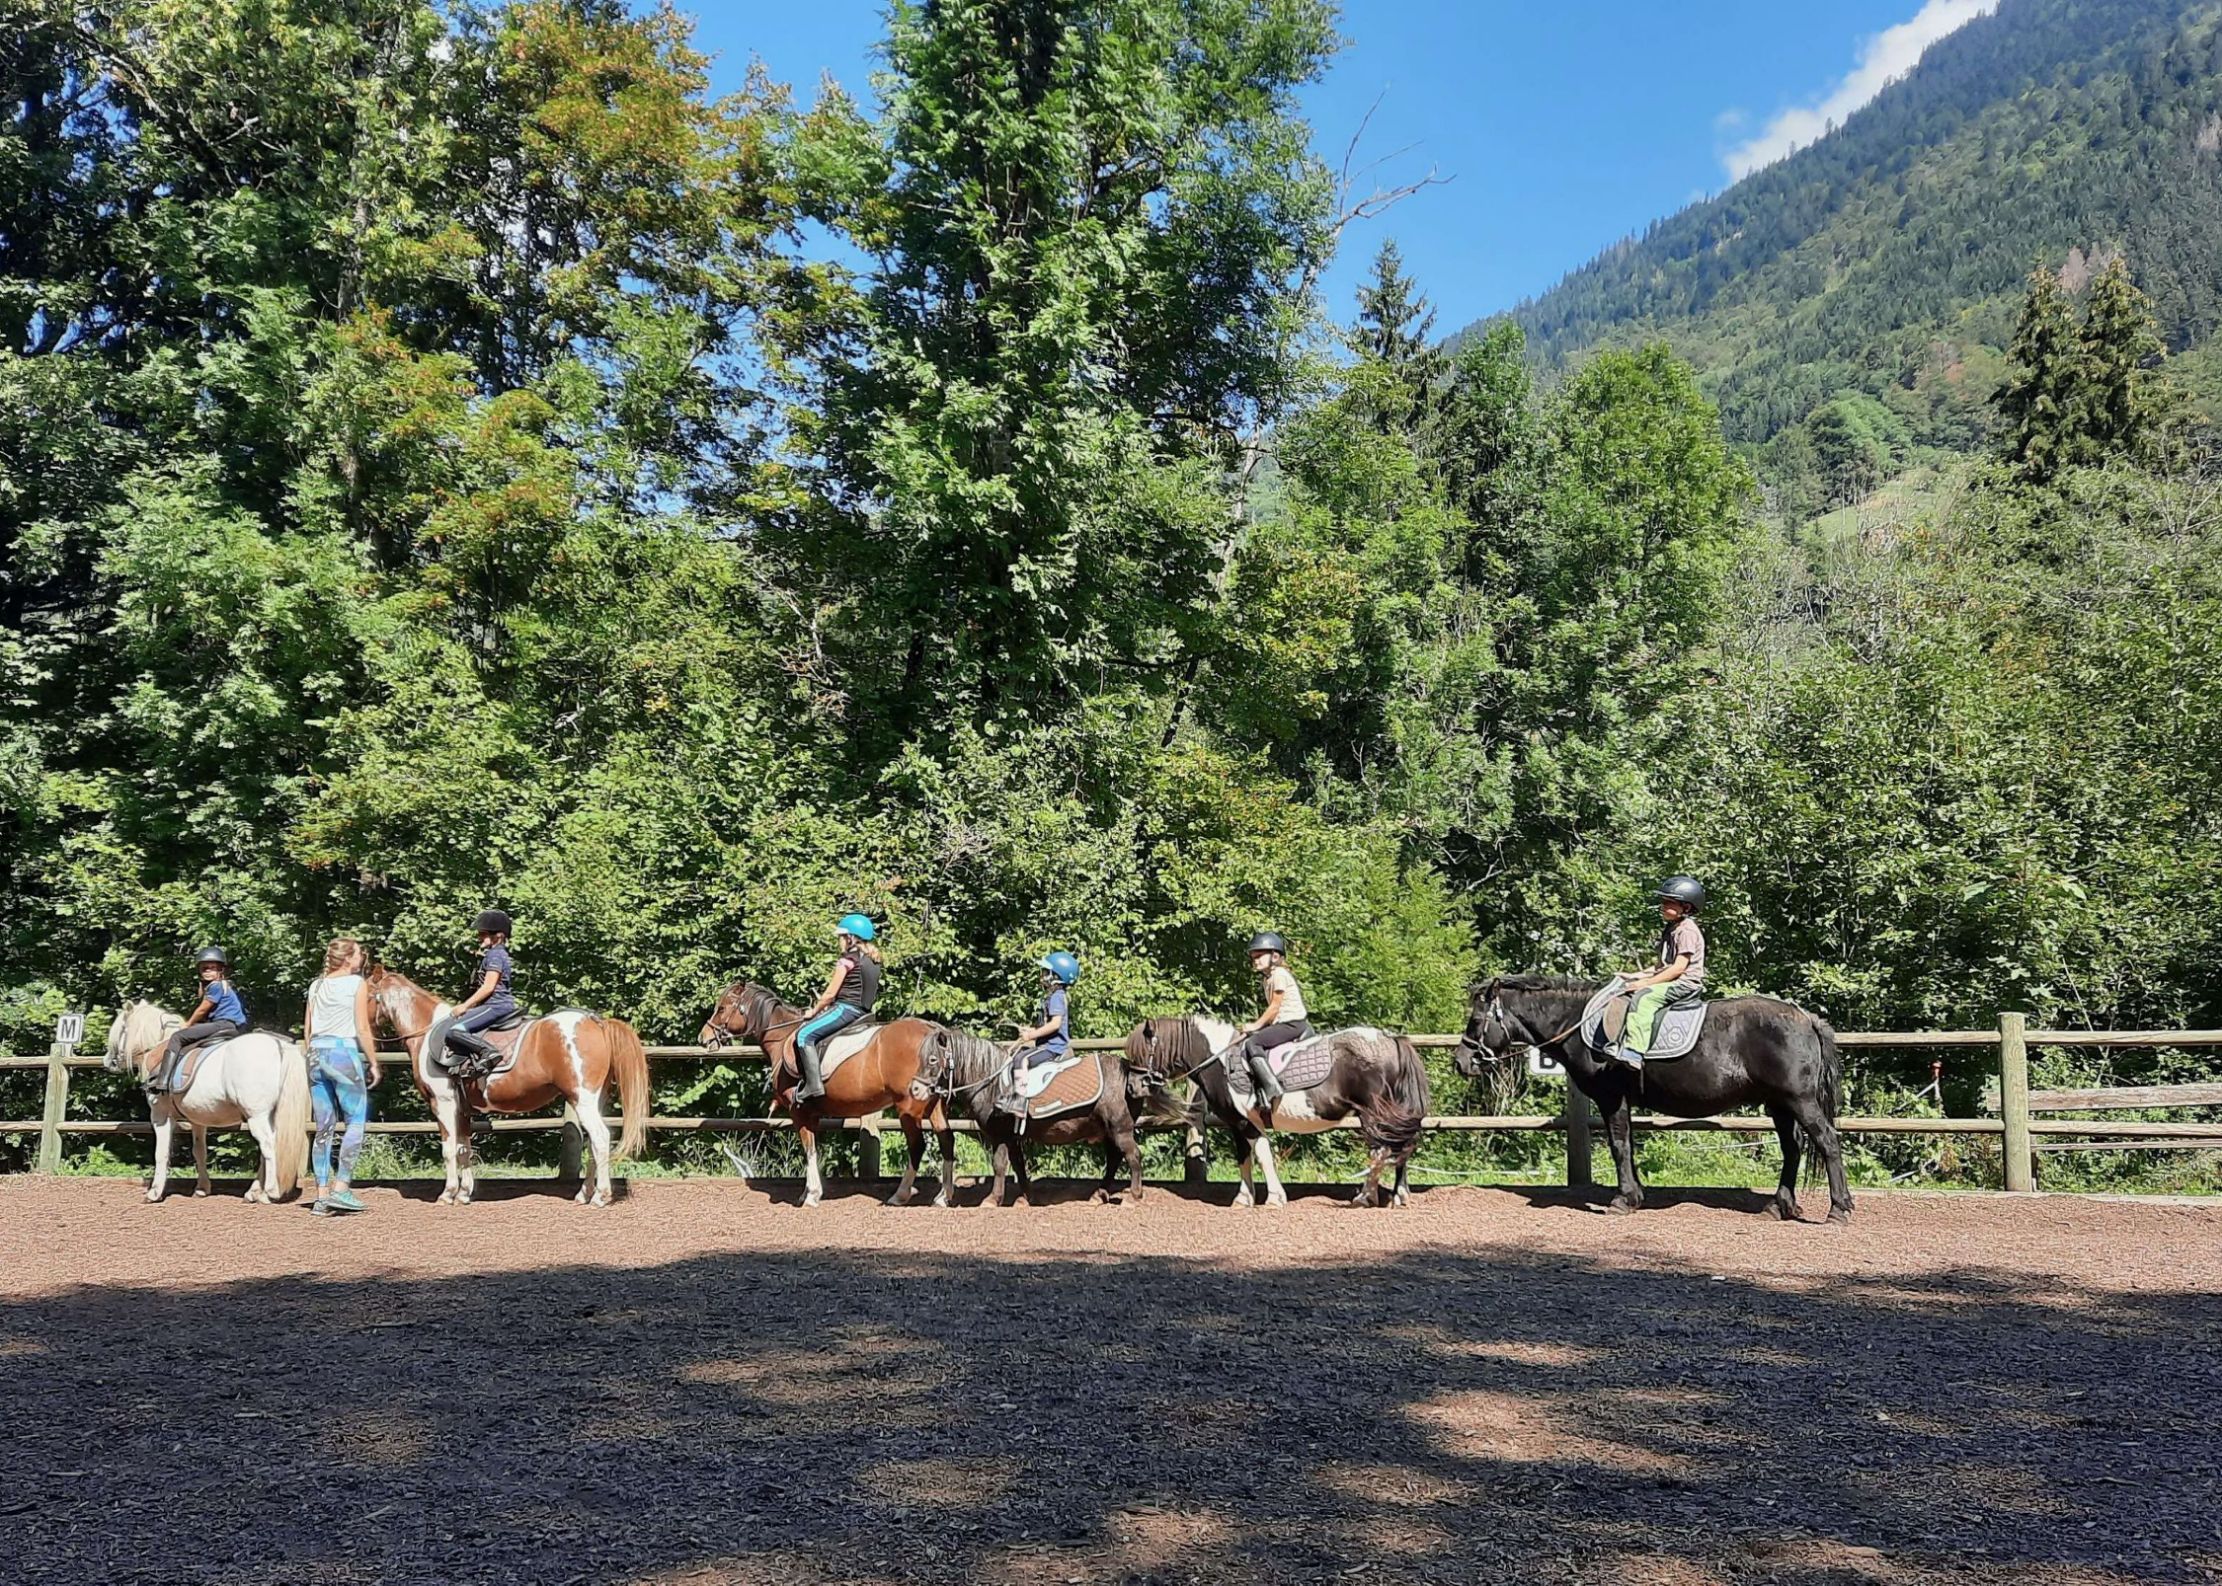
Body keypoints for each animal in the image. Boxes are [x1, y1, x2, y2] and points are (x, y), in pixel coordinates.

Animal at [103, 999, 308, 1199]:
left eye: (122, 1028)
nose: (107, 1061)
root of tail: (279, 1045)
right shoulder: (198, 1120)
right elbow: (199, 1152)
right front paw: (202, 1188)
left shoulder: (160, 1116)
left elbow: (160, 1153)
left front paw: (154, 1192)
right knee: (264, 1152)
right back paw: (254, 1192)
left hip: (256, 1116)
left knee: (268, 1146)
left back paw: (270, 1191)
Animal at [368, 959, 648, 1208]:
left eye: (367, 995)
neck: (428, 1033)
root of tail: (597, 1022)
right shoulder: (463, 1109)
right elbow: (464, 1149)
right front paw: (464, 1194)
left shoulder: (443, 1104)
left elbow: (448, 1149)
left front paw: (447, 1194)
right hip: (592, 1100)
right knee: (593, 1142)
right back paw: (584, 1194)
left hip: (583, 1099)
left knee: (600, 1137)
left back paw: (600, 1196)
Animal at [702, 968, 955, 1208]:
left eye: (722, 1008)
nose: (703, 1038)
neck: (783, 1037)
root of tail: (932, 1032)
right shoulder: (812, 1114)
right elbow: (813, 1148)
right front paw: (806, 1192)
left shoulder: (799, 1111)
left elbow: (809, 1149)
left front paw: (812, 1195)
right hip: (935, 1106)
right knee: (946, 1140)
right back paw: (943, 1197)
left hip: (909, 1107)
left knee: (917, 1146)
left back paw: (900, 1195)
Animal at [1457, 968, 1857, 1217]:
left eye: (1475, 1021)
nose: (1461, 1062)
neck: (1579, 1020)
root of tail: (1806, 1018)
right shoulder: (1621, 1100)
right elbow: (1628, 1145)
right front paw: (1634, 1195)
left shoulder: (1611, 1096)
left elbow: (1619, 1144)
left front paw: (1623, 1199)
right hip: (1779, 1103)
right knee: (1793, 1149)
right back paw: (1778, 1206)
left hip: (1798, 1101)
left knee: (1827, 1142)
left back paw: (1839, 1208)